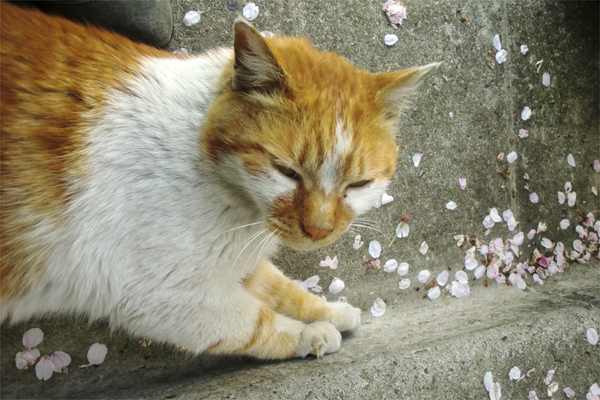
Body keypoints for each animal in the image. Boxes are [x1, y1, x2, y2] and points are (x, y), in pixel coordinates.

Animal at [1, 3, 440, 360]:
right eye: (286, 171)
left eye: (358, 184)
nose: (318, 231)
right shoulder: (158, 296)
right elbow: (253, 323)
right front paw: (310, 335)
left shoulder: (238, 259)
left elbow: (282, 288)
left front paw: (330, 311)